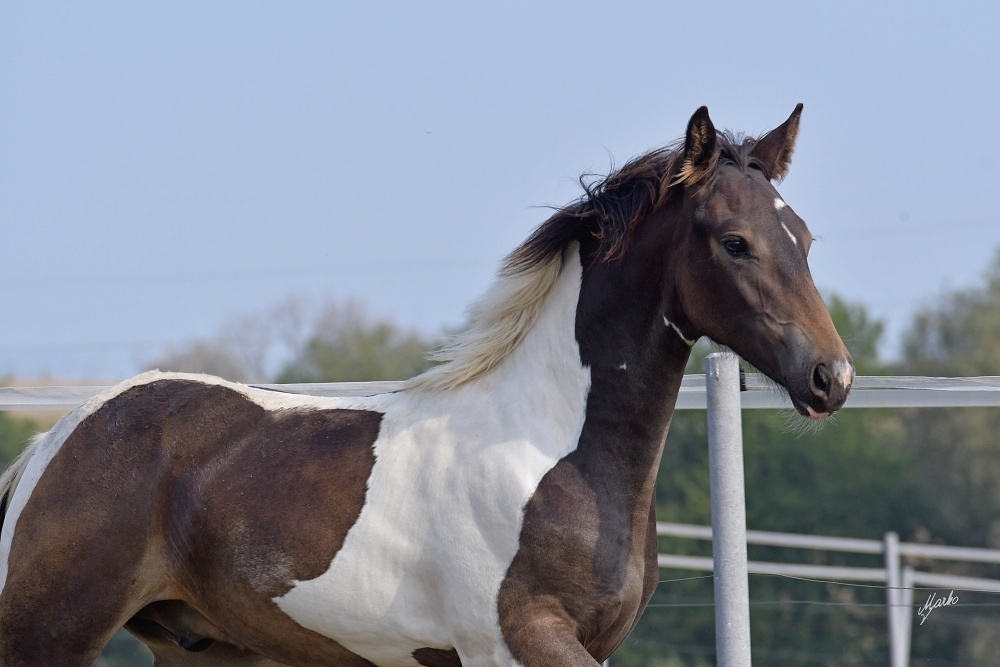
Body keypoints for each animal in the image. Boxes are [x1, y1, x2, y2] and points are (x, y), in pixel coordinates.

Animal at [0, 107, 852, 664]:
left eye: (805, 238)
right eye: (734, 242)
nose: (831, 376)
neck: (553, 452)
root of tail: (55, 442)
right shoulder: (515, 641)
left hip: (204, 649)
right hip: (48, 635)